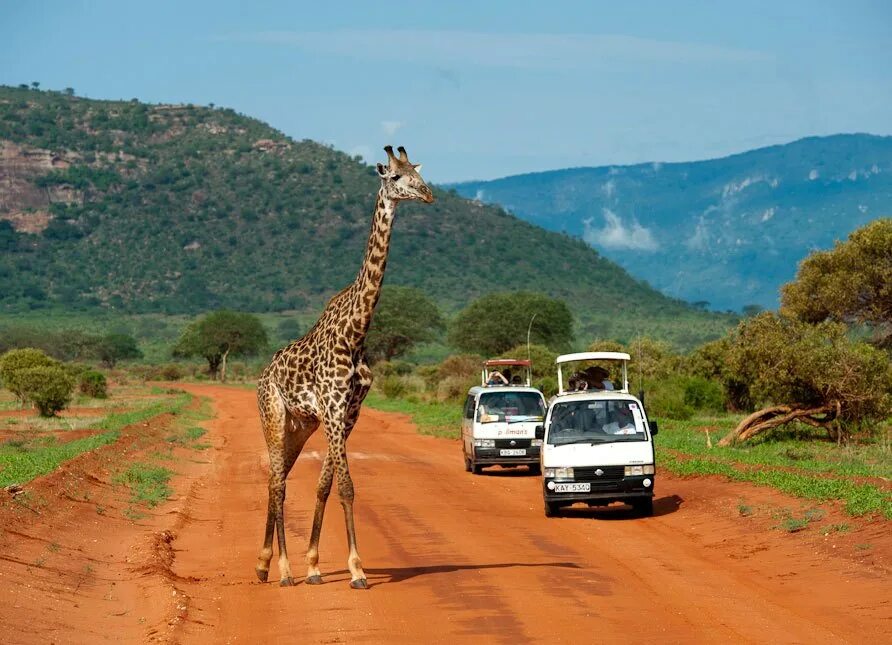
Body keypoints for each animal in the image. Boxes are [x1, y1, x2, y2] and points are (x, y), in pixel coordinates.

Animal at [253, 146, 434, 588]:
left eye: (419, 173)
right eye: (395, 178)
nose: (428, 194)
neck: (357, 331)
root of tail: (262, 375)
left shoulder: (349, 411)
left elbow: (325, 484)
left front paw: (316, 564)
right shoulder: (333, 408)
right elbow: (347, 486)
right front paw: (356, 570)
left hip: (301, 425)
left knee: (276, 479)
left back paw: (265, 564)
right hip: (273, 415)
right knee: (278, 484)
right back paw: (283, 571)